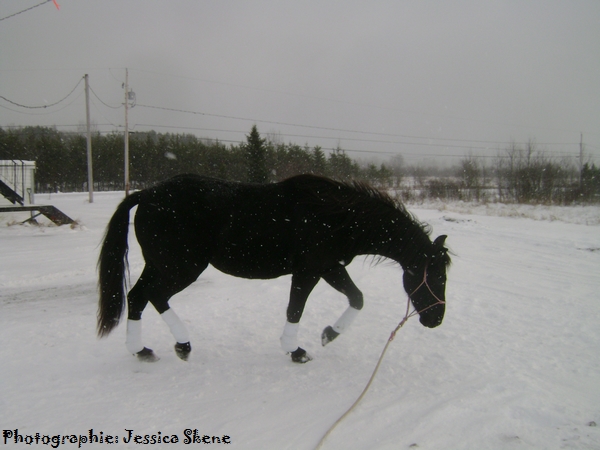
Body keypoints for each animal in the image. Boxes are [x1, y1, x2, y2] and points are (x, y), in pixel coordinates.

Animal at [96, 174, 448, 364]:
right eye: (436, 276)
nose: (435, 320)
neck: (334, 216)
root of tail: (147, 194)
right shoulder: (309, 272)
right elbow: (295, 309)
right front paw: (296, 351)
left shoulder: (329, 268)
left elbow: (357, 298)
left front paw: (329, 334)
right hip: (180, 267)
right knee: (151, 296)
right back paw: (170, 347)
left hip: (162, 266)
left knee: (141, 297)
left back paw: (151, 349)